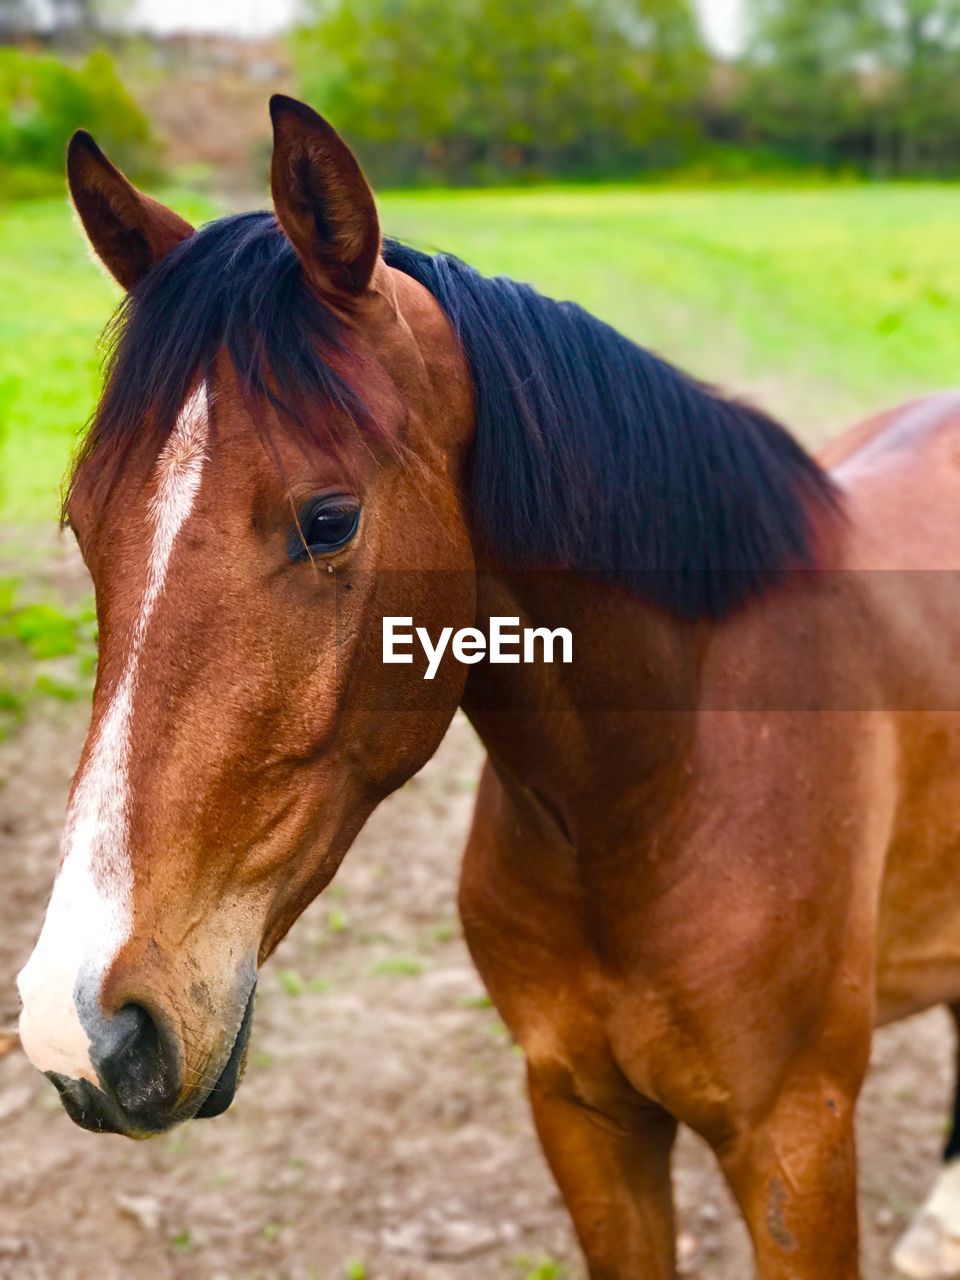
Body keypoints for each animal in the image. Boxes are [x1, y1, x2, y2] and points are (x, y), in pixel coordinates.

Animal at [11, 94, 960, 1274]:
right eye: (83, 522)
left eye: (330, 519)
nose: (80, 1023)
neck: (665, 781)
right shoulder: (581, 1112)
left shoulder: (798, 1140)